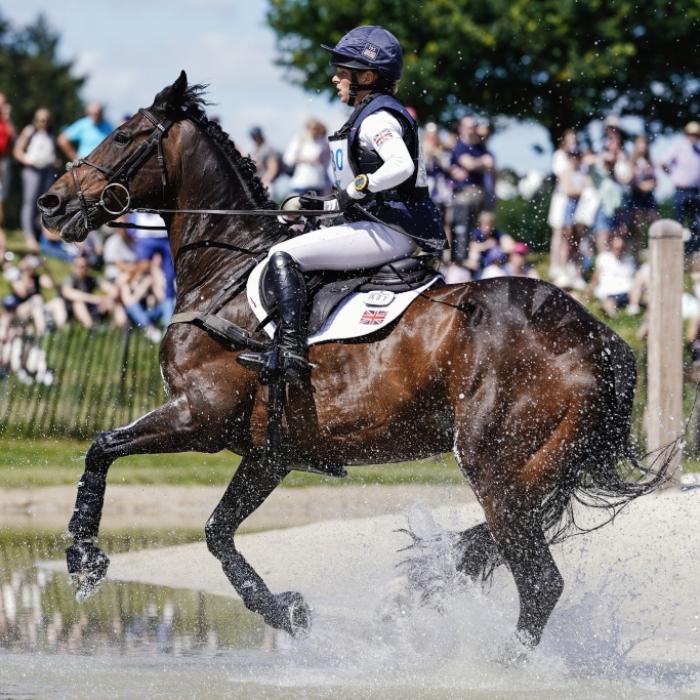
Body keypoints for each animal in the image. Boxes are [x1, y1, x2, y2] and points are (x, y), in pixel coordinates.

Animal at [38, 72, 670, 652]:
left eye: (121, 136)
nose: (50, 203)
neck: (224, 276)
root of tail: (597, 336)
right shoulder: (270, 452)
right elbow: (217, 532)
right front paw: (287, 612)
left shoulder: (199, 416)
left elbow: (101, 448)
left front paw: (83, 557)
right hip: (536, 470)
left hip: (496, 465)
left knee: (540, 582)